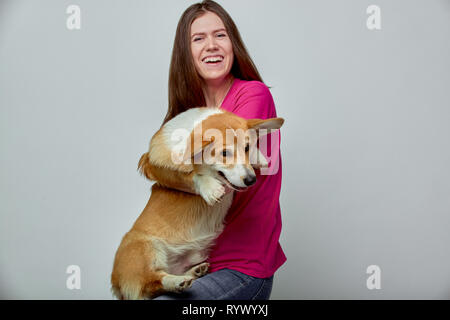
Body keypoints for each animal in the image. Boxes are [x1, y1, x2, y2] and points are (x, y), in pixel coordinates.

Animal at [110, 107, 284, 300]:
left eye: (246, 148)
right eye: (224, 153)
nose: (251, 180)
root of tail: (116, 285)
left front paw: (258, 156)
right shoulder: (155, 161)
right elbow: (192, 173)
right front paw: (209, 187)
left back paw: (194, 272)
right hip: (145, 248)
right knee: (152, 282)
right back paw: (176, 282)